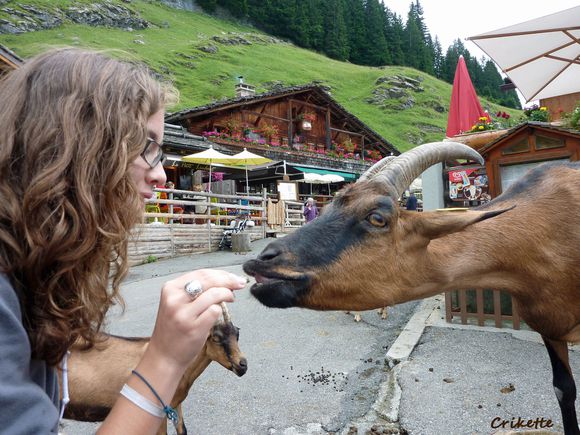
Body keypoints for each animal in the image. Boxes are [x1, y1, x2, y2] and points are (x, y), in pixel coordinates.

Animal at [60, 304, 245, 435]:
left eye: (237, 334)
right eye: (216, 338)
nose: (243, 365)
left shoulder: (175, 404)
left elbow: (182, 430)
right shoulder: (156, 411)